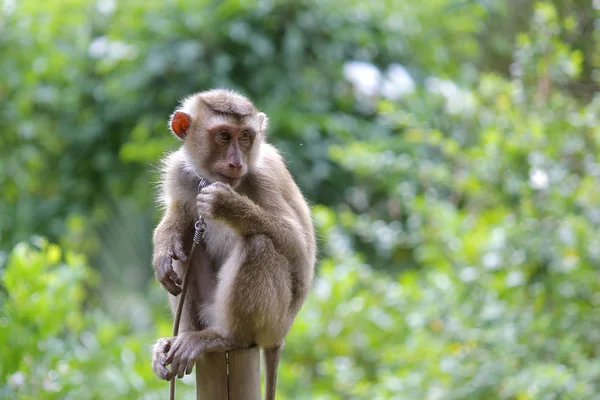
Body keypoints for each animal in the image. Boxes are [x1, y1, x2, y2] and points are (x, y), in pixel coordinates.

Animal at [152, 89, 316, 398]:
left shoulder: (266, 175)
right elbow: (178, 213)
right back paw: (179, 338)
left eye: (246, 137)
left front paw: (225, 204)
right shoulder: (179, 171)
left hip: (273, 322)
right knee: (188, 246)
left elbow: (297, 246)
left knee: (259, 245)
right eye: (224, 135)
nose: (237, 163)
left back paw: (227, 338)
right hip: (210, 309)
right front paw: (164, 246)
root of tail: (280, 337)